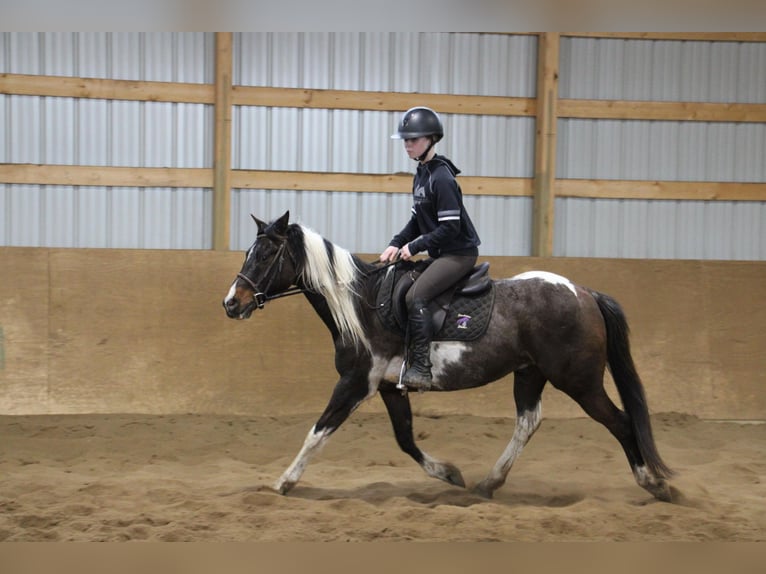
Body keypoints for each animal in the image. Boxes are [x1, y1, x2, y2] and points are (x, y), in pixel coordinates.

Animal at [224, 213, 680, 504]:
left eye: (264, 255)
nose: (231, 303)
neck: (362, 304)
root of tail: (584, 292)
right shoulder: (389, 387)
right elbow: (405, 440)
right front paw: (449, 474)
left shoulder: (354, 383)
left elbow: (317, 433)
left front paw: (283, 483)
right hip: (530, 374)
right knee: (528, 422)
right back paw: (489, 483)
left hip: (579, 381)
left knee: (621, 422)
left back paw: (657, 486)